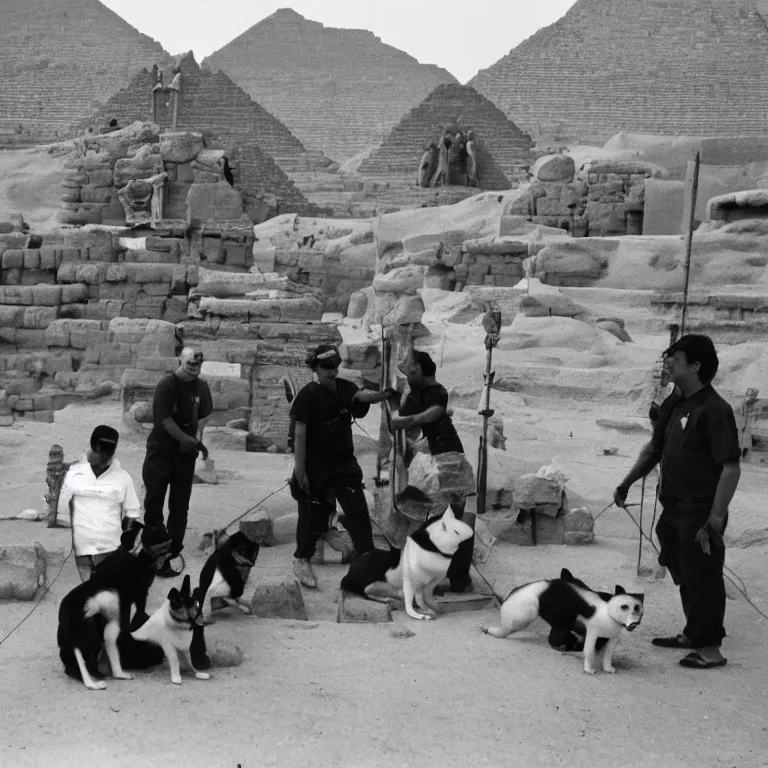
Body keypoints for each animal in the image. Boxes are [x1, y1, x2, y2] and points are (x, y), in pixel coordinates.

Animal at [340, 508, 474, 620]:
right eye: (456, 532)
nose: (470, 537)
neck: (434, 549)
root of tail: (348, 575)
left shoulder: (433, 581)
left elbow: (426, 596)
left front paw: (432, 607)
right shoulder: (413, 581)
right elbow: (416, 598)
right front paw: (421, 614)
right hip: (375, 585)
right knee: (368, 592)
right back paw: (388, 599)